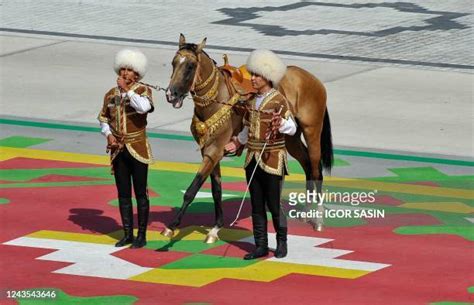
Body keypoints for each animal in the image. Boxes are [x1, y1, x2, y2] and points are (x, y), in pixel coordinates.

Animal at [161, 33, 332, 242]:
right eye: (173, 63)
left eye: (191, 66)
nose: (171, 94)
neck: (218, 99)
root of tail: (310, 77)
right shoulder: (209, 152)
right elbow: (216, 190)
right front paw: (216, 228)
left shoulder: (214, 151)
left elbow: (193, 189)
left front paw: (172, 226)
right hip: (291, 139)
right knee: (307, 165)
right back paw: (307, 212)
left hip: (312, 131)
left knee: (316, 171)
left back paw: (318, 220)